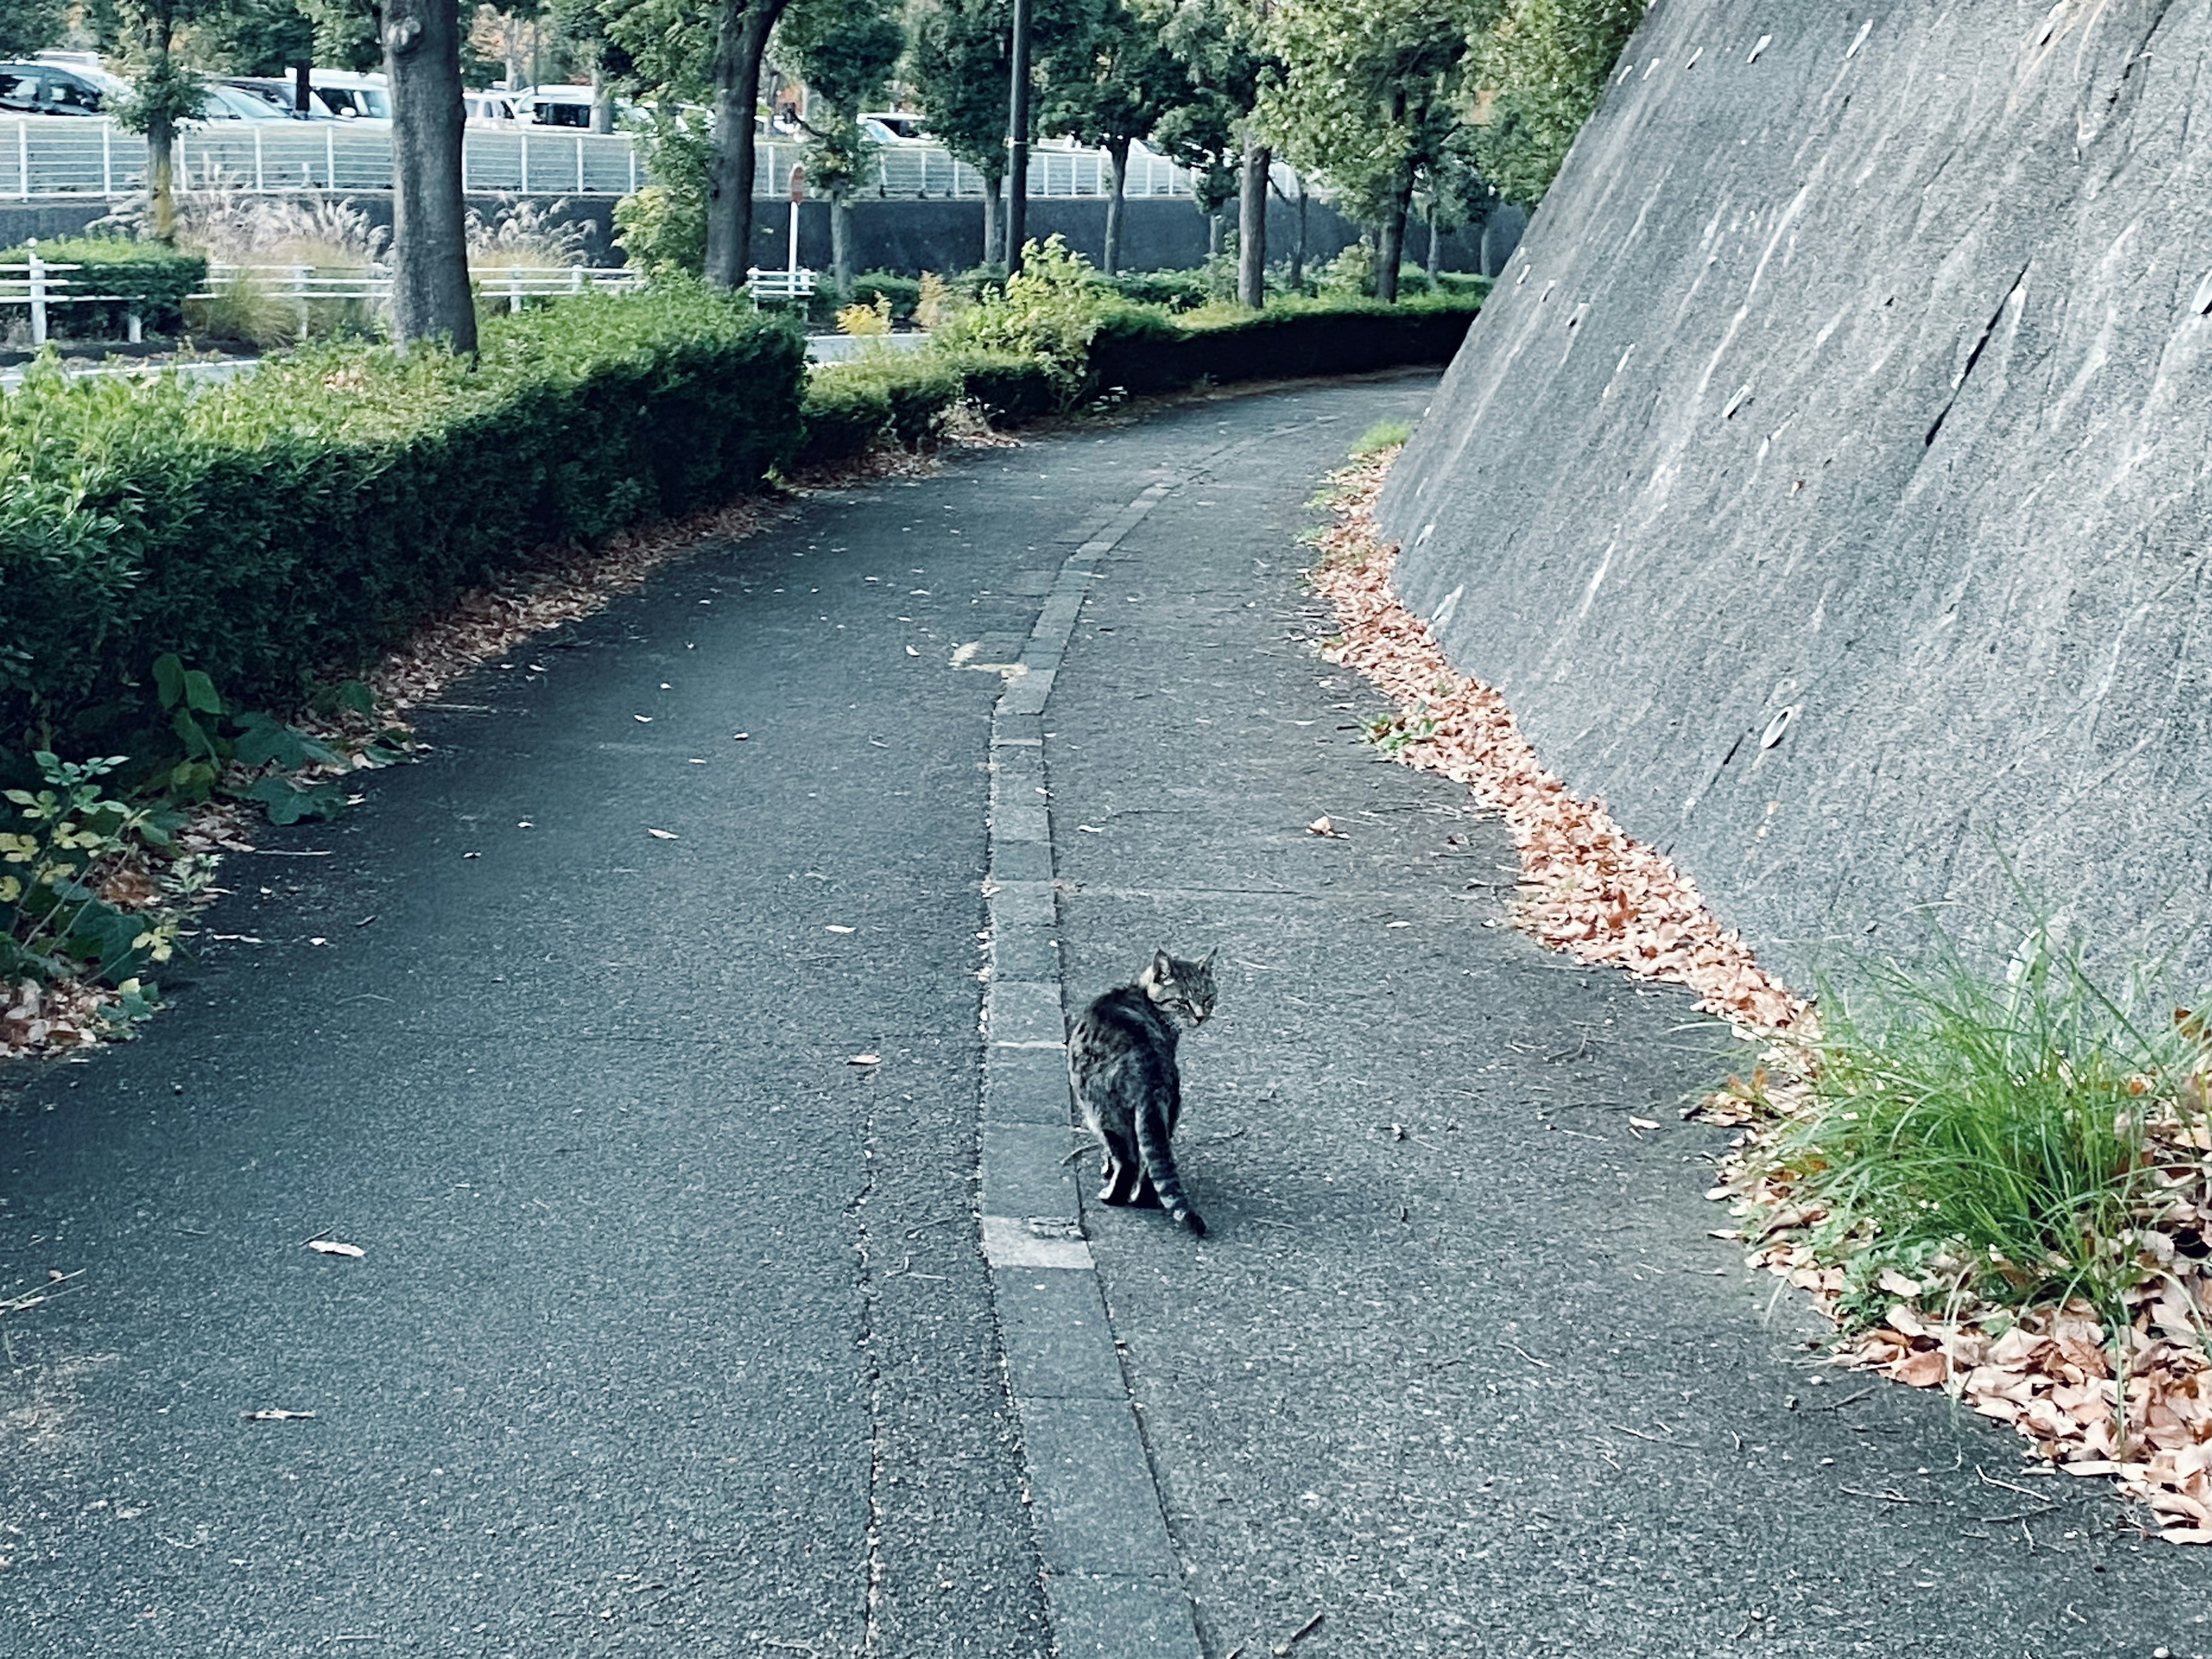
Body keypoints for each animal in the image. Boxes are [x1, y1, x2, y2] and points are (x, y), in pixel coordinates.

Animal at [1062, 946, 1221, 1238]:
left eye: (1206, 998)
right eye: (1183, 1001)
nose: (1200, 1016)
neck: (1140, 994)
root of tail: (1149, 1072)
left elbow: (1112, 1155)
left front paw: (1106, 1169)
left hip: (1103, 1112)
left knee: (1128, 1162)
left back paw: (1112, 1197)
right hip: (1164, 1113)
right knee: (1149, 1162)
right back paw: (1144, 1199)